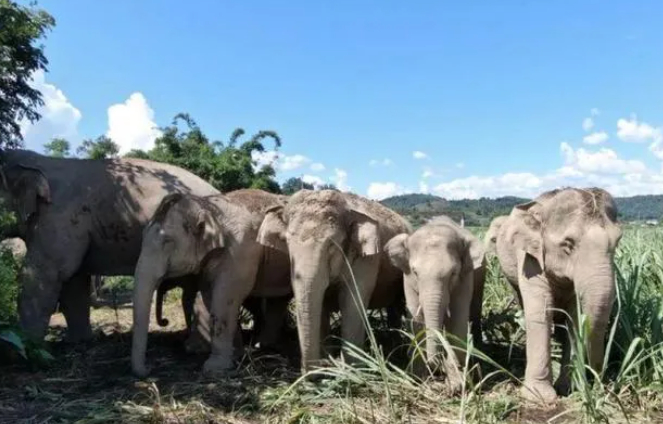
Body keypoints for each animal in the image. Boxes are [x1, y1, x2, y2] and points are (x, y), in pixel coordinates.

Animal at [131, 190, 292, 376]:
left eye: (167, 242)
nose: (149, 370)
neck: (208, 206)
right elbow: (209, 295)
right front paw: (234, 355)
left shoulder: (241, 252)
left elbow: (226, 297)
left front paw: (214, 367)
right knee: (279, 301)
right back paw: (265, 345)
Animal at [256, 189, 412, 374]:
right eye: (286, 242)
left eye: (332, 245)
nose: (312, 373)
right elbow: (321, 304)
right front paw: (328, 362)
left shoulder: (367, 258)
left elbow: (351, 302)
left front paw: (351, 370)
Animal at [382, 217, 486, 390]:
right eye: (415, 272)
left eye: (453, 273)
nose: (437, 372)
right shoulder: (407, 279)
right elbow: (416, 320)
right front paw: (417, 378)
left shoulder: (465, 277)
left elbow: (458, 319)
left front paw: (457, 385)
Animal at [496, 187, 624, 402]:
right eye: (567, 244)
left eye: (617, 242)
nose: (600, 381)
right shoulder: (530, 258)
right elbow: (540, 312)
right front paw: (539, 396)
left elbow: (574, 317)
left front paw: (568, 388)